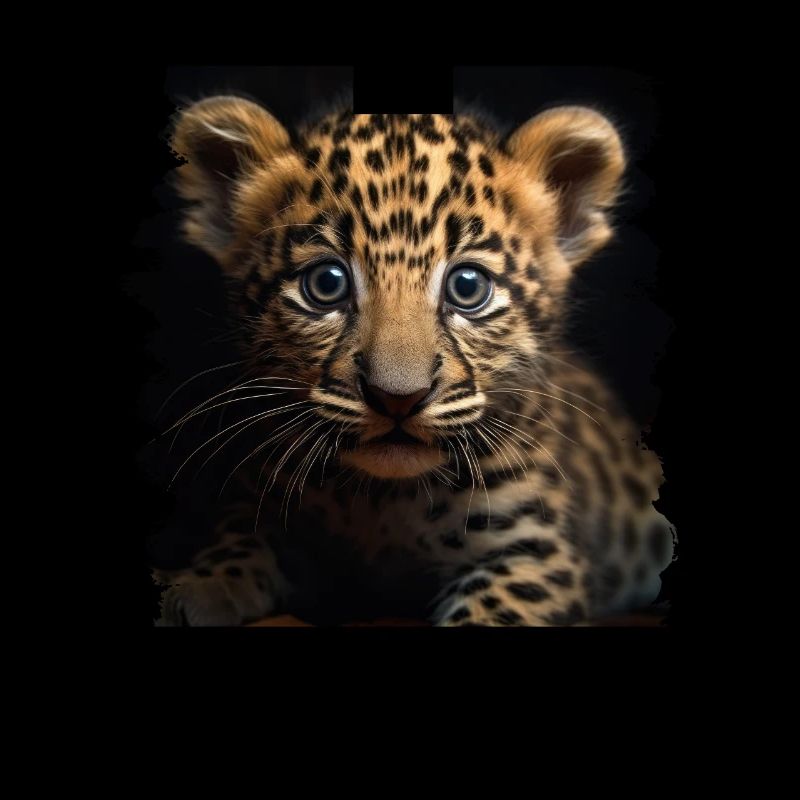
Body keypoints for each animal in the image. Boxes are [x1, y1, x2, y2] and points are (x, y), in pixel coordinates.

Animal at [152, 96, 676, 627]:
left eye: (467, 287)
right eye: (326, 284)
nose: (398, 399)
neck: (382, 501)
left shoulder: (537, 551)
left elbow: (488, 613)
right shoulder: (265, 503)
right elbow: (239, 540)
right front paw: (198, 588)